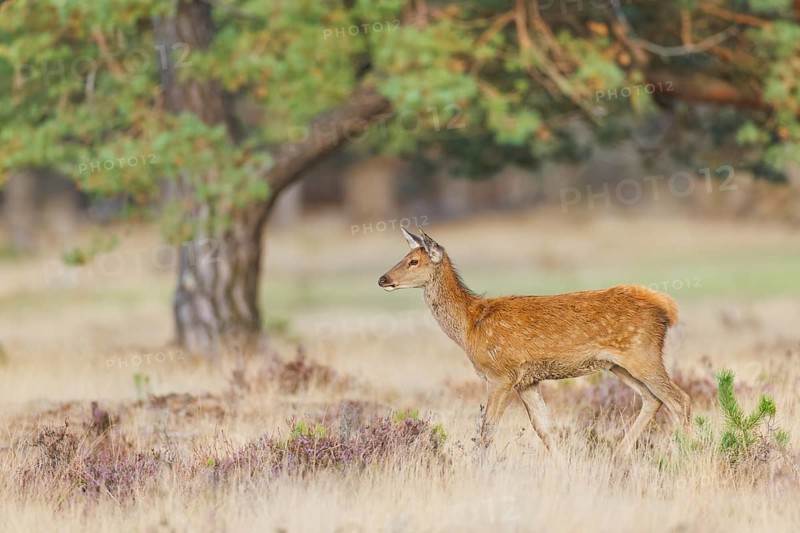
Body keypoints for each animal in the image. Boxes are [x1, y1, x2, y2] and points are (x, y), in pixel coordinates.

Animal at [378, 227, 691, 454]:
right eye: (404, 256)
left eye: (413, 261)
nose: (383, 279)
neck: (469, 327)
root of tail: (667, 308)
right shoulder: (527, 381)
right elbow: (544, 429)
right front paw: (563, 467)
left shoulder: (501, 375)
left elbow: (487, 430)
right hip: (619, 364)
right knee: (653, 399)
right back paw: (620, 454)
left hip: (642, 353)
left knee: (680, 399)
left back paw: (689, 452)